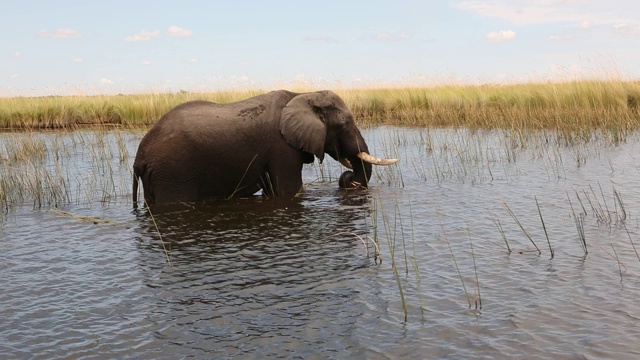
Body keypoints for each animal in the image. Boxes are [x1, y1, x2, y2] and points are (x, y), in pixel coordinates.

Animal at [132, 89, 398, 205]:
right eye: (344, 124)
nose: (348, 179)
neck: (303, 94)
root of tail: (139, 158)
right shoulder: (281, 147)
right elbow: (289, 190)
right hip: (173, 172)